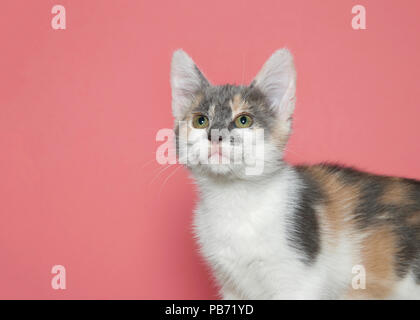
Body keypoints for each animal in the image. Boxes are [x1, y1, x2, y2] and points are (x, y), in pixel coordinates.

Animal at [169, 48, 418, 298]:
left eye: (244, 120)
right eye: (200, 121)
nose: (215, 135)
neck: (234, 199)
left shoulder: (299, 279)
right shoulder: (231, 285)